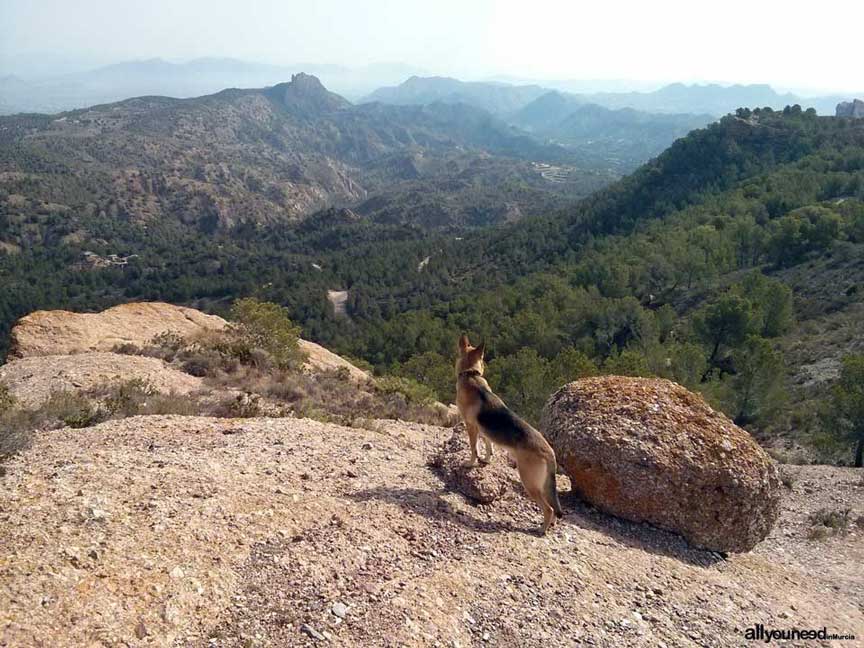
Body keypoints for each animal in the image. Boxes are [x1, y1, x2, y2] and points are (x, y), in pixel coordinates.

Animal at [452, 336, 568, 536]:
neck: (471, 374)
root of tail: (550, 452)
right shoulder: (484, 430)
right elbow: (488, 445)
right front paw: (486, 459)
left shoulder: (471, 426)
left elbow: (473, 448)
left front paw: (470, 463)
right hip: (542, 484)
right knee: (553, 507)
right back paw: (550, 525)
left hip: (529, 482)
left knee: (548, 508)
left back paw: (541, 529)